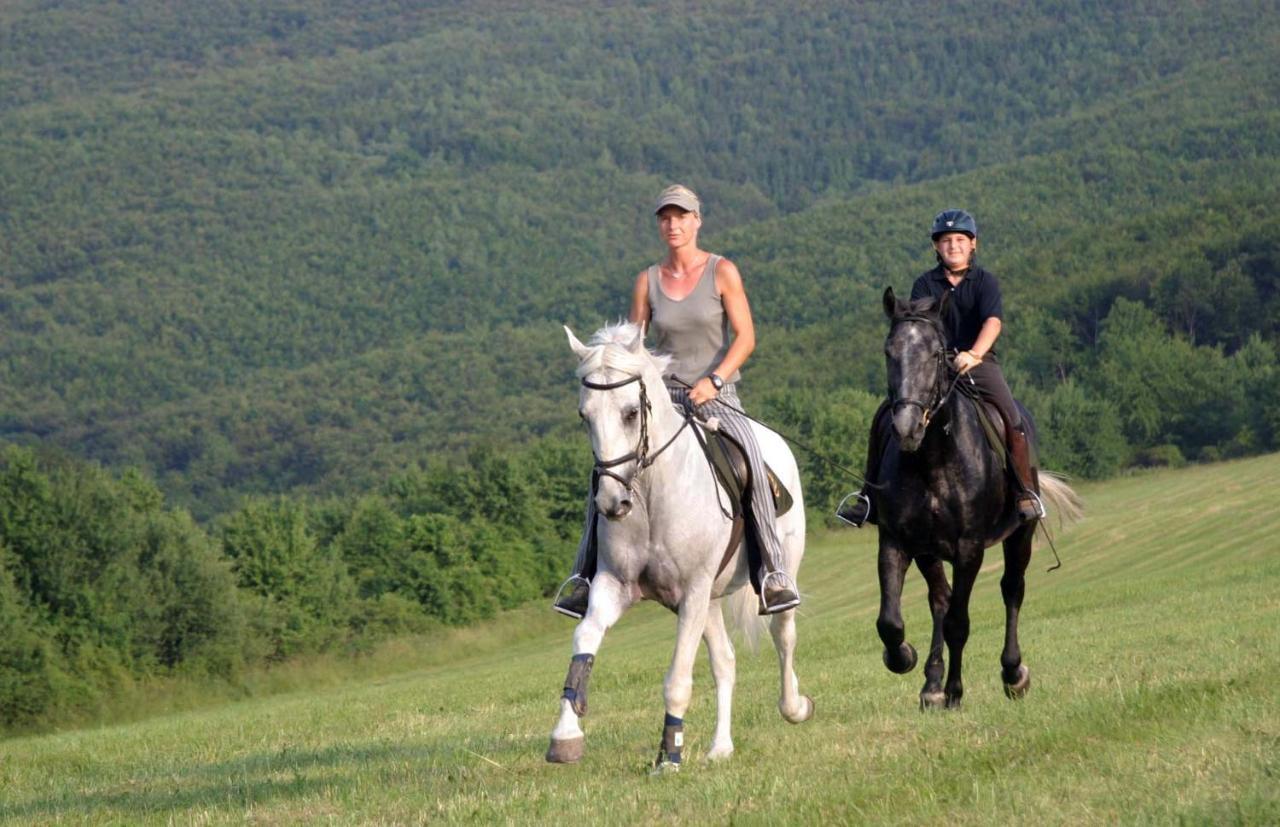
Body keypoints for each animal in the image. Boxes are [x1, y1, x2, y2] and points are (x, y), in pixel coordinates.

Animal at [547, 322, 808, 773]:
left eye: (631, 412)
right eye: (585, 416)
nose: (612, 504)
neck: (652, 495)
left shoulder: (692, 591)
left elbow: (677, 679)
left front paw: (669, 754)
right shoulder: (616, 585)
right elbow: (584, 640)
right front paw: (565, 737)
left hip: (773, 572)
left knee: (783, 633)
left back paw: (794, 707)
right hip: (710, 601)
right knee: (725, 662)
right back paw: (721, 747)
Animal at [870, 288, 1080, 711]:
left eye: (936, 353)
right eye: (889, 351)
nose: (906, 428)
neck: (933, 457)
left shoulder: (969, 549)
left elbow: (959, 622)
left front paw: (955, 692)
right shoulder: (898, 541)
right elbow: (891, 622)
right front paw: (905, 658)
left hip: (1020, 535)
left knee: (1012, 589)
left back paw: (1013, 673)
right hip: (929, 551)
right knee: (940, 599)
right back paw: (931, 683)